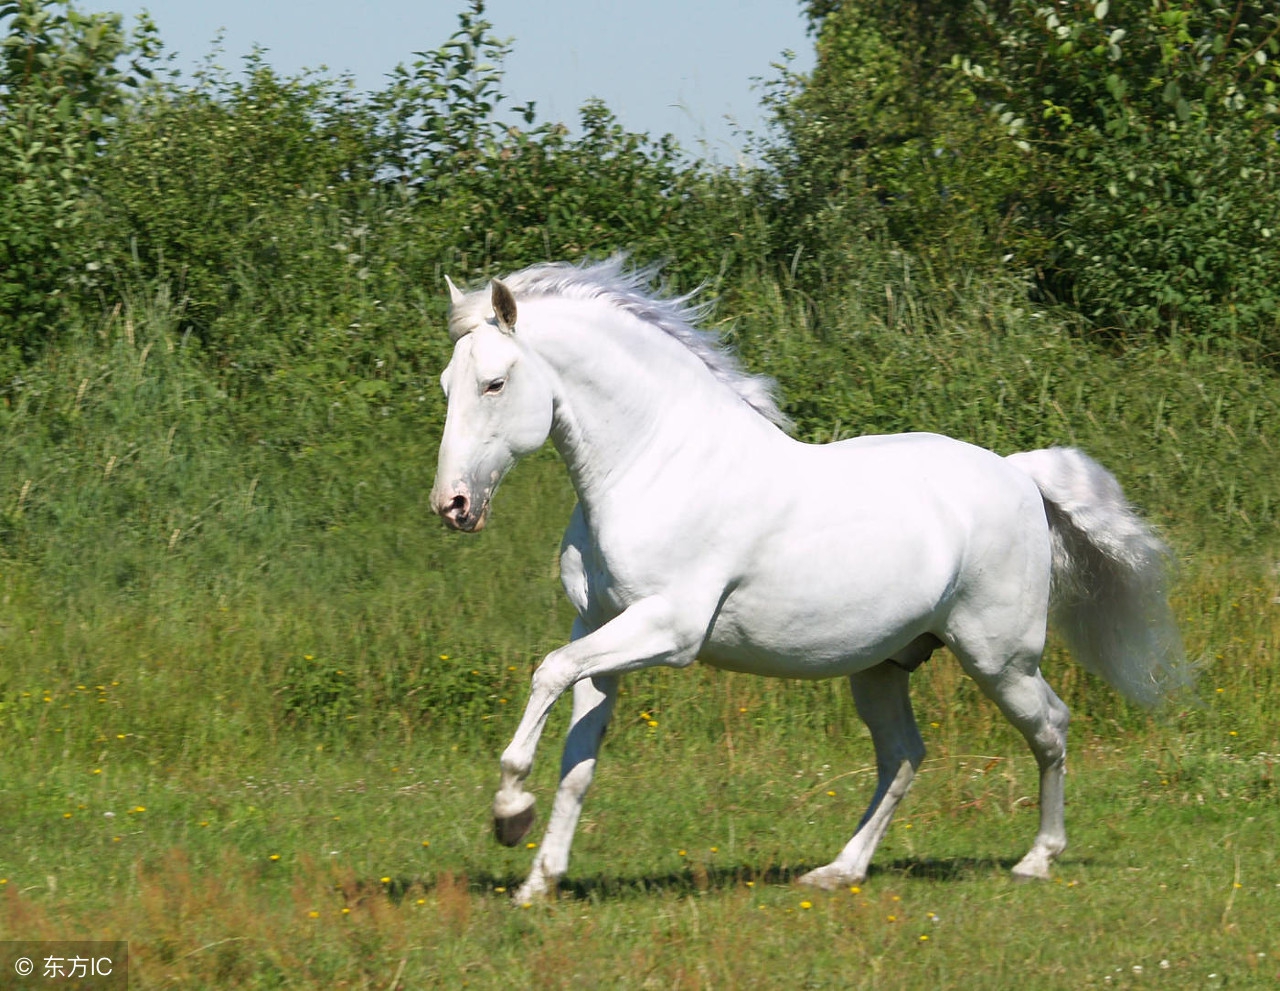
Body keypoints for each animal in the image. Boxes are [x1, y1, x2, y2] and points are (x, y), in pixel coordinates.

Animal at [432, 258, 1187, 906]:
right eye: (446, 385)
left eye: (494, 384)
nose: (453, 505)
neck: (656, 465)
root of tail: (1019, 474)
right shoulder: (599, 629)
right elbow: (578, 759)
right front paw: (538, 881)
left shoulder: (667, 630)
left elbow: (548, 672)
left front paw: (509, 813)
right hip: (882, 667)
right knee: (904, 756)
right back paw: (837, 870)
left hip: (999, 657)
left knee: (1050, 728)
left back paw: (1036, 859)